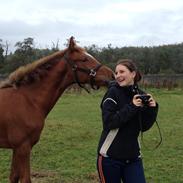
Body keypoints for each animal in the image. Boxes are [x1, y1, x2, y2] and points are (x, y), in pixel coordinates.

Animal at [0, 36, 113, 182]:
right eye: (84, 59)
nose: (112, 74)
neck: (28, 100)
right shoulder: (23, 147)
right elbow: (25, 178)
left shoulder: (16, 148)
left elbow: (13, 176)